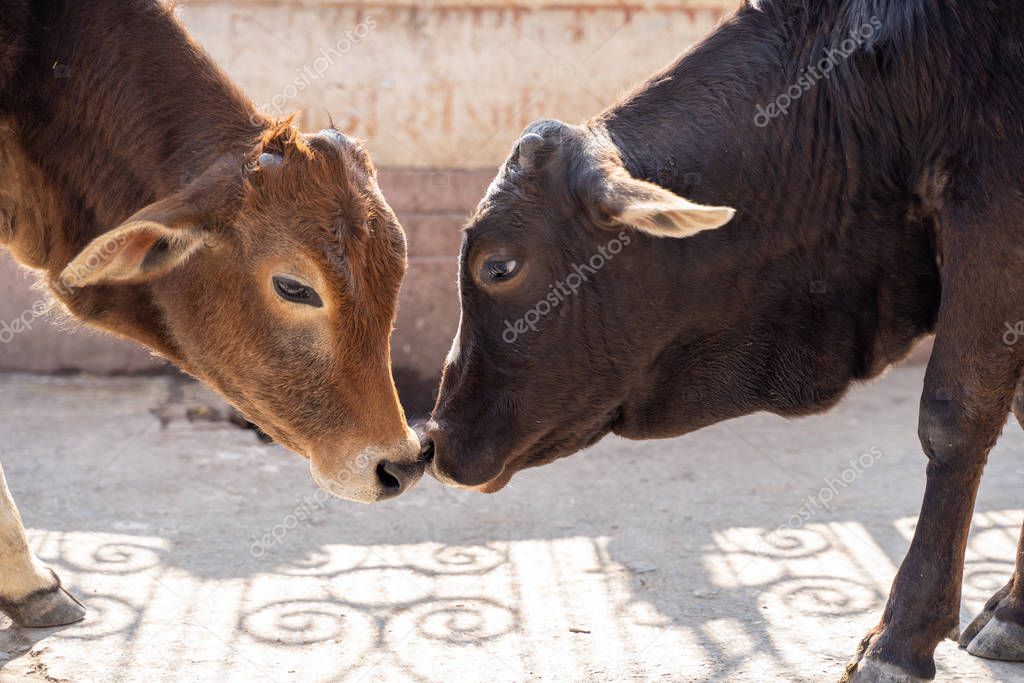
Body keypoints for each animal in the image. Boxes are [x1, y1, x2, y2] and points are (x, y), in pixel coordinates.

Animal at [421, 1, 1024, 683]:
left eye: (499, 266)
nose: (436, 438)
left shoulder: (992, 203)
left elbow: (953, 419)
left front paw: (901, 636)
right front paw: (1015, 611)